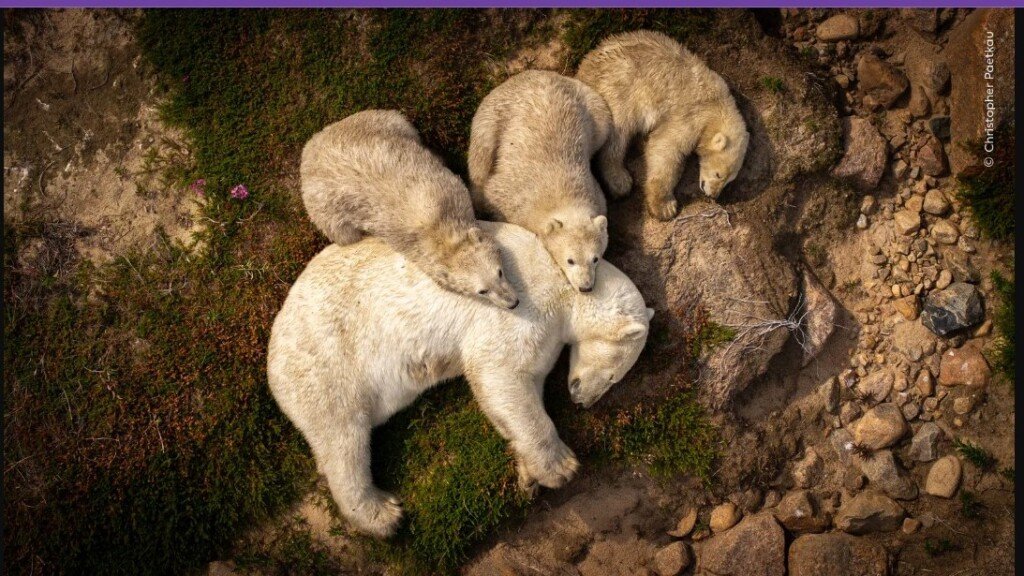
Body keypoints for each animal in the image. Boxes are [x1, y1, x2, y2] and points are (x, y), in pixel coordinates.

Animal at [267, 221, 653, 538]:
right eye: (615, 375)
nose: (584, 401)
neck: (564, 279)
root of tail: (273, 349)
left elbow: (517, 393)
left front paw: (527, 475)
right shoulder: (525, 304)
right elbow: (499, 372)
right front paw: (560, 468)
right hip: (328, 362)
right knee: (343, 438)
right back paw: (382, 514)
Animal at [300, 109, 518, 309]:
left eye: (499, 272)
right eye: (482, 291)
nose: (513, 303)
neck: (437, 227)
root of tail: (309, 149)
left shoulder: (449, 187)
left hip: (374, 122)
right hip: (324, 210)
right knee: (345, 234)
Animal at [467, 70, 613, 293]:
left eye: (595, 258)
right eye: (570, 260)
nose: (585, 287)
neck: (562, 191)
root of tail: (538, 73)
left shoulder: (596, 193)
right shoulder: (512, 195)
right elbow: (492, 194)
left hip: (592, 106)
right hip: (494, 114)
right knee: (480, 157)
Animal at [576, 30, 750, 220]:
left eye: (729, 180)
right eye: (718, 174)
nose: (713, 195)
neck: (717, 104)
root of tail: (584, 67)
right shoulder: (690, 115)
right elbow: (665, 148)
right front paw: (665, 207)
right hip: (618, 88)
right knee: (617, 134)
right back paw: (620, 180)